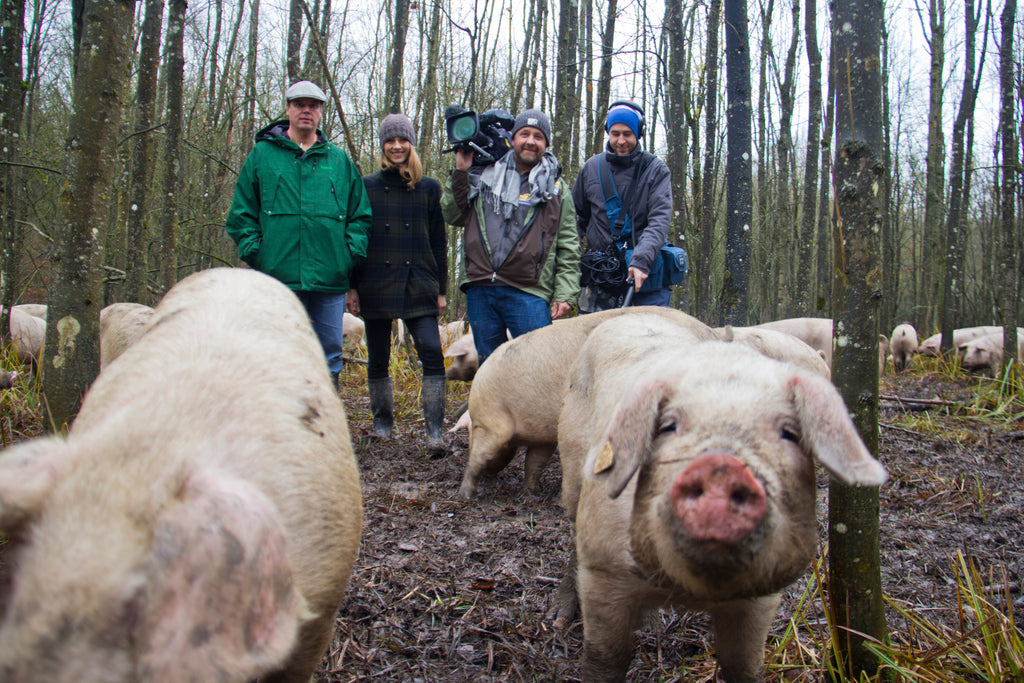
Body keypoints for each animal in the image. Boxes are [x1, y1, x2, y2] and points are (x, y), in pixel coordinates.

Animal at [460, 309, 716, 497]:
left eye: (470, 429)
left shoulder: (493, 423)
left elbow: (481, 454)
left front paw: (466, 494)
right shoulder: (544, 435)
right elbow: (535, 462)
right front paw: (532, 493)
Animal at [552, 313, 888, 683]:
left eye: (789, 433)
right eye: (668, 426)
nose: (722, 468)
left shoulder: (761, 597)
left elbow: (745, 668)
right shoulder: (604, 572)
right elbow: (605, 662)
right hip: (572, 458)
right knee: (572, 528)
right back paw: (560, 619)